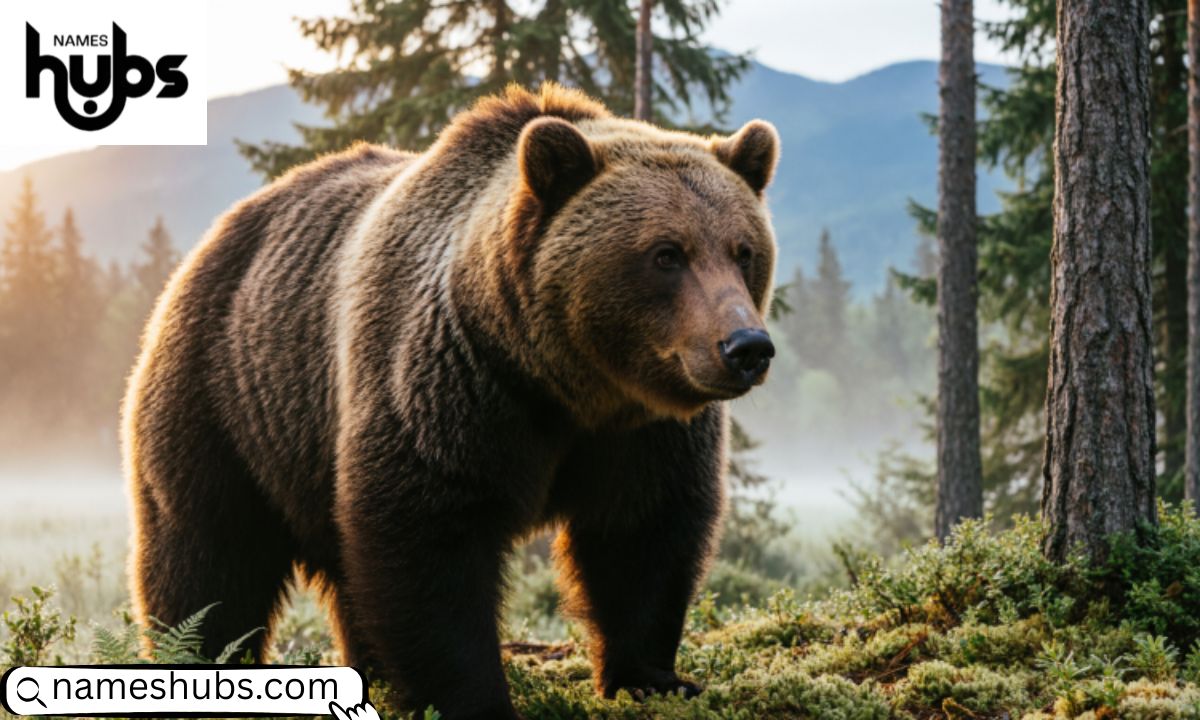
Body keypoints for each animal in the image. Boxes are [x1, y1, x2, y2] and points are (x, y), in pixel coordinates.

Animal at [122, 83, 779, 719]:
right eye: (667, 253)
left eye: (743, 250)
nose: (746, 346)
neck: (565, 384)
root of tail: (220, 233)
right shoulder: (451, 386)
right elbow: (428, 539)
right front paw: (475, 697)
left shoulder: (643, 431)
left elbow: (643, 535)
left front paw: (656, 678)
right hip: (229, 393)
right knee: (208, 553)